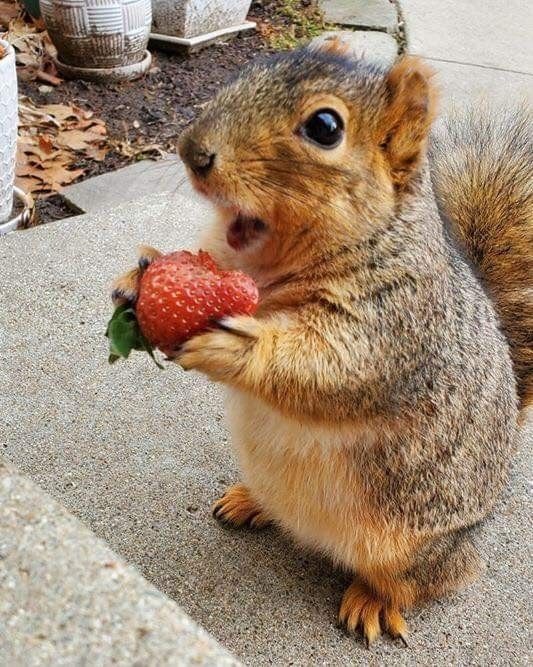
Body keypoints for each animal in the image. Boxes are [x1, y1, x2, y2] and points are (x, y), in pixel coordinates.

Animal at [110, 37, 528, 648]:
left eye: (325, 127)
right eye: (248, 71)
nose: (192, 152)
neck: (268, 274)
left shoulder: (397, 326)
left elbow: (331, 370)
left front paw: (236, 349)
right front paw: (138, 274)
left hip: (411, 545)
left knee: (421, 583)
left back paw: (373, 601)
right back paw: (250, 502)